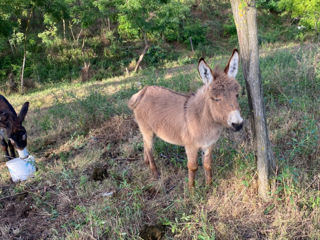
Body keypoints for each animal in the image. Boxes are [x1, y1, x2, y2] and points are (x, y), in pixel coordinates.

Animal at [129, 49, 244, 188]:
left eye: (237, 95)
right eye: (216, 99)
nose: (238, 124)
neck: (204, 119)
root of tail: (142, 92)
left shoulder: (208, 145)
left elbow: (207, 165)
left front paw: (209, 186)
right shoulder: (190, 146)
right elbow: (193, 167)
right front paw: (192, 189)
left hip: (149, 130)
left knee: (145, 144)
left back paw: (146, 162)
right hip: (147, 130)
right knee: (149, 148)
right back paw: (155, 173)